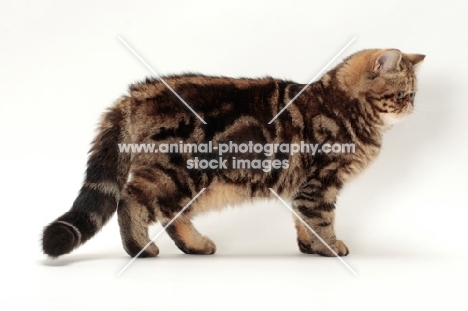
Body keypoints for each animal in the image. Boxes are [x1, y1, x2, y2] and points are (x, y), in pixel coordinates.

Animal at [43, 48, 424, 258]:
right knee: (132, 198)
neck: (347, 106)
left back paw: (195, 245)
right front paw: (328, 246)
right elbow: (320, 218)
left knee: (170, 213)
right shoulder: (321, 182)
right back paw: (140, 247)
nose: (413, 107)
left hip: (188, 180)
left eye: (413, 94)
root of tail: (138, 92)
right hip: (180, 171)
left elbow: (303, 219)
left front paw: (307, 247)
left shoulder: (303, 187)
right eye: (403, 94)